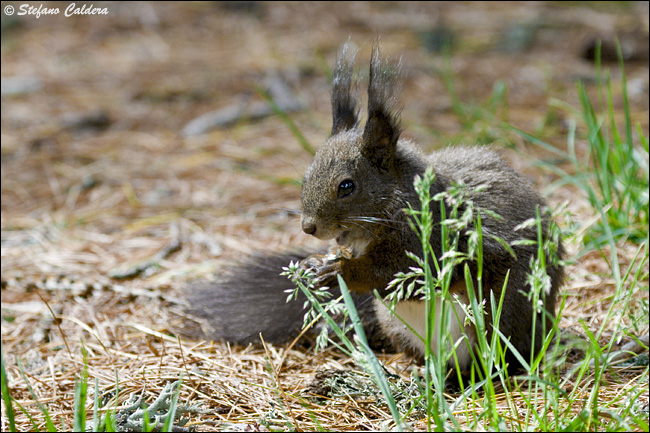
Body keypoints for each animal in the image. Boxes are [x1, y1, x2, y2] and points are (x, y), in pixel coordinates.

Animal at [181, 41, 560, 374]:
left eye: (347, 186)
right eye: (306, 176)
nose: (308, 227)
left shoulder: (434, 242)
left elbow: (401, 276)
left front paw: (340, 272)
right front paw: (312, 263)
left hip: (500, 322)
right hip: (395, 324)